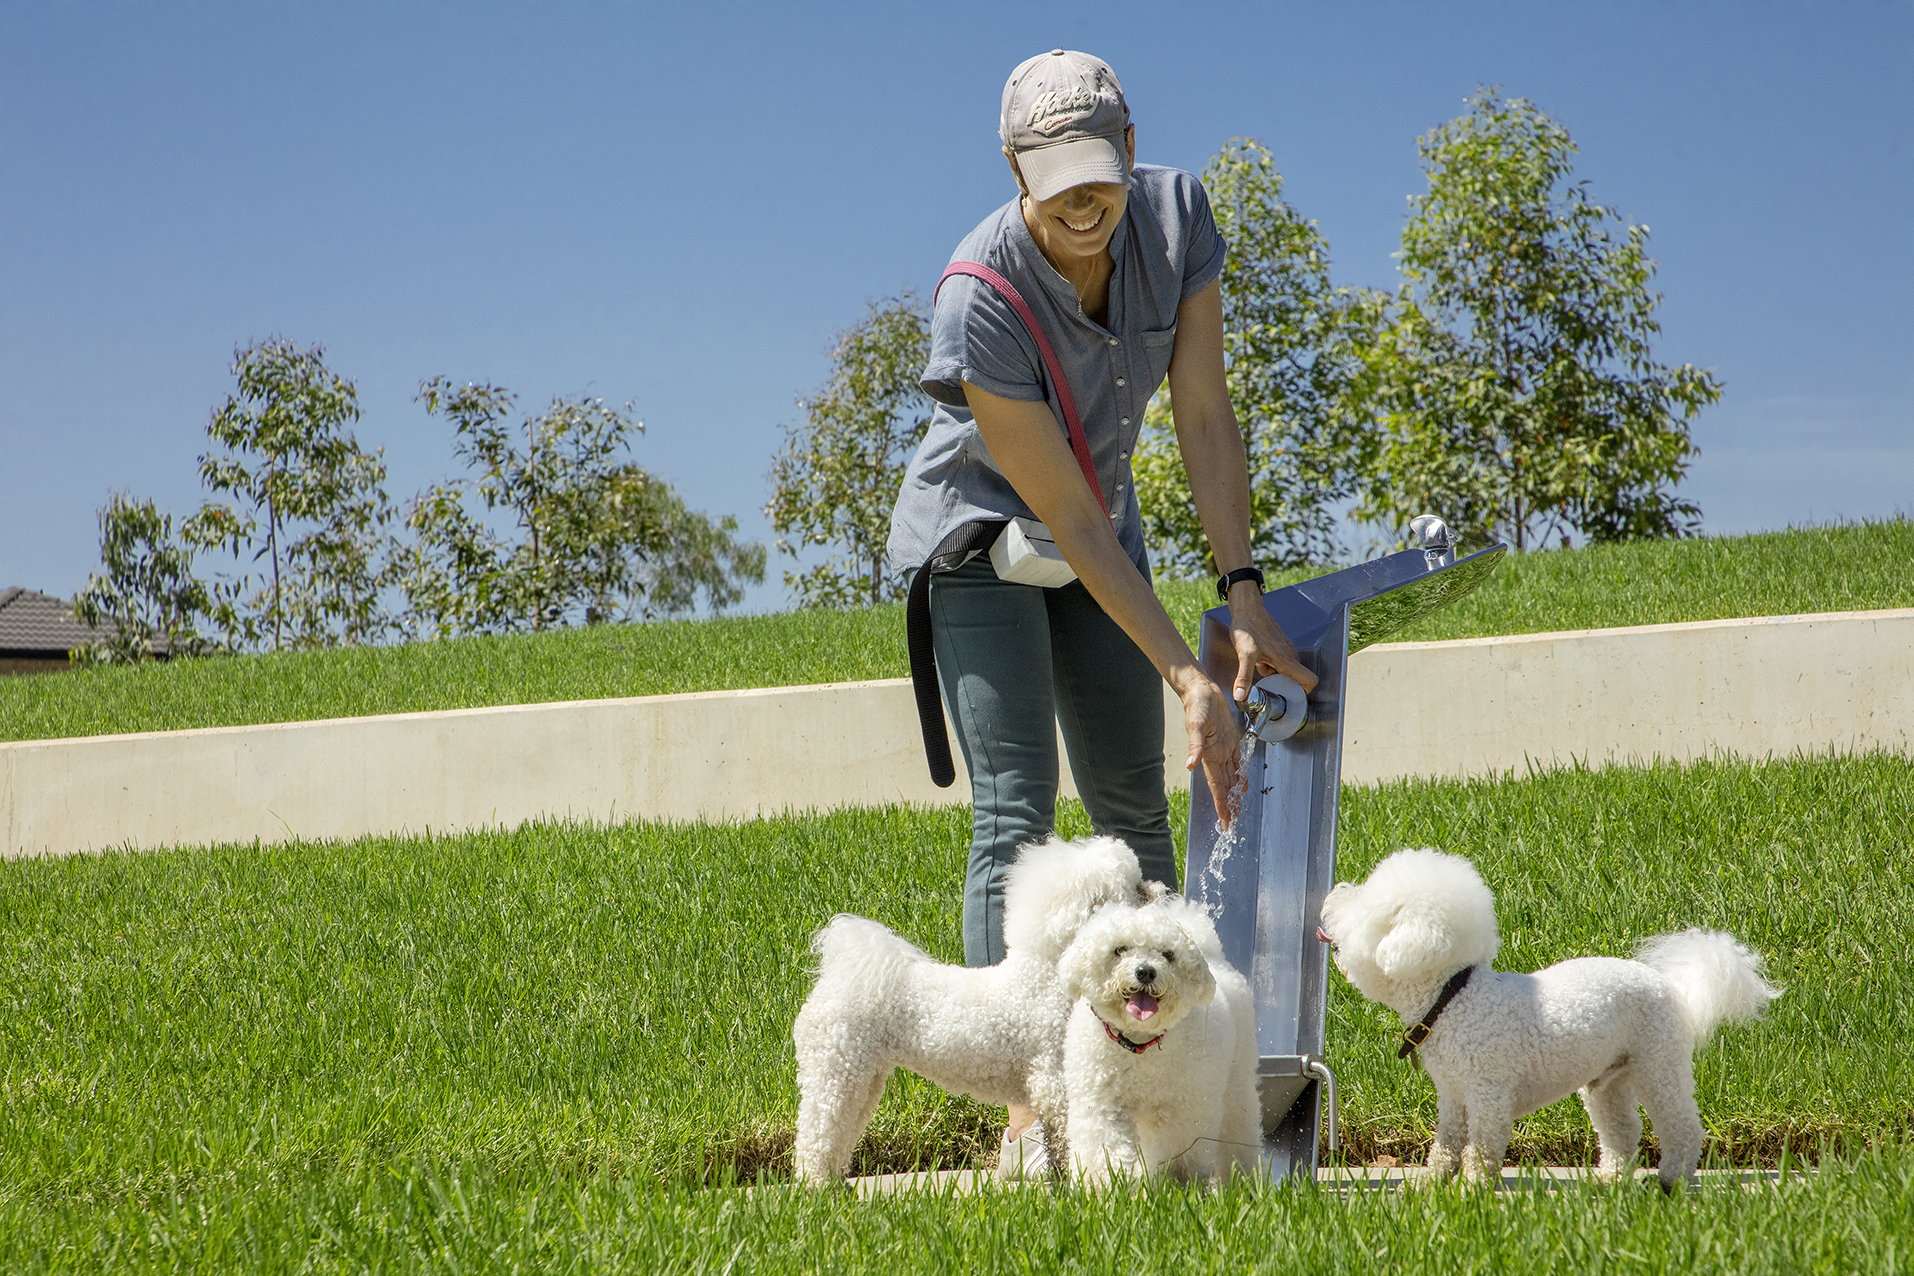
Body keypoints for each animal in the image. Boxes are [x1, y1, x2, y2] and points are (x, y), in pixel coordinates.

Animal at [788, 837, 1148, 1186]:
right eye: (1132, 887)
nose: (1152, 888)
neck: (1044, 978)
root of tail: (839, 978)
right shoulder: (1053, 1080)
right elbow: (1068, 1136)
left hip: (864, 1077)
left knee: (844, 1130)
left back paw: (835, 1183)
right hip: (833, 1069)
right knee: (818, 1133)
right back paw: (814, 1185)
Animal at [1056, 899, 1263, 1186]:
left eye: (1168, 954)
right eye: (1120, 949)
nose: (1146, 972)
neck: (1139, 1044)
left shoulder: (1184, 1108)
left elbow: (1179, 1152)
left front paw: (1175, 1185)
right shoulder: (1101, 1102)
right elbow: (1104, 1147)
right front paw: (1108, 1185)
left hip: (1237, 1083)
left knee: (1240, 1129)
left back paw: (1242, 1181)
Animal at [1316, 853, 1776, 1193]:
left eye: (1366, 908)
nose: (1333, 895)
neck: (1454, 998)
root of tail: (1674, 988)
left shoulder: (1488, 1094)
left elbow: (1479, 1147)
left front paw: (1471, 1188)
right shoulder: (1452, 1095)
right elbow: (1446, 1143)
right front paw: (1430, 1182)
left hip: (1658, 1064)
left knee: (1681, 1125)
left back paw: (1671, 1178)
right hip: (1608, 1081)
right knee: (1621, 1128)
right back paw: (1610, 1178)